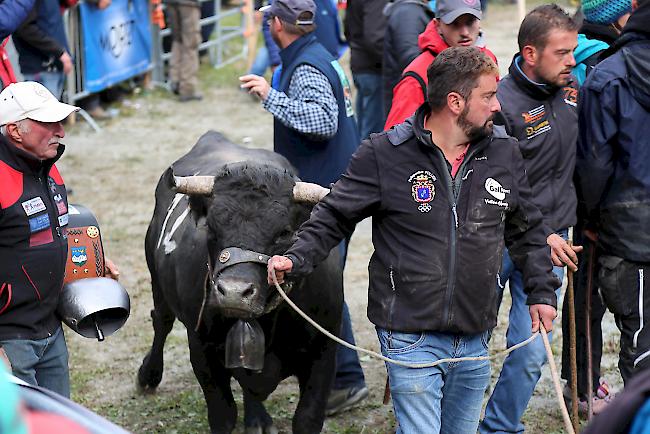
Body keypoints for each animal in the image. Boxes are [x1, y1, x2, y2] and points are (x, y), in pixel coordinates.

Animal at [137, 131, 344, 434]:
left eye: (285, 232)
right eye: (212, 228)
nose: (234, 292)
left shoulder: (323, 353)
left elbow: (307, 418)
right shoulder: (202, 352)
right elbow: (223, 415)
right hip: (156, 279)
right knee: (161, 321)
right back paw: (148, 375)